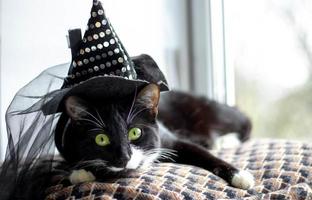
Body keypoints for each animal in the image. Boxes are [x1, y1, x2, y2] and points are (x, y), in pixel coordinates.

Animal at [56, 83, 255, 190]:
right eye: (101, 139)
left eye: (135, 132)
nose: (124, 157)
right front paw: (80, 172)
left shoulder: (170, 139)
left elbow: (203, 155)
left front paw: (240, 175)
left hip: (211, 113)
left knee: (245, 124)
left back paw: (224, 140)